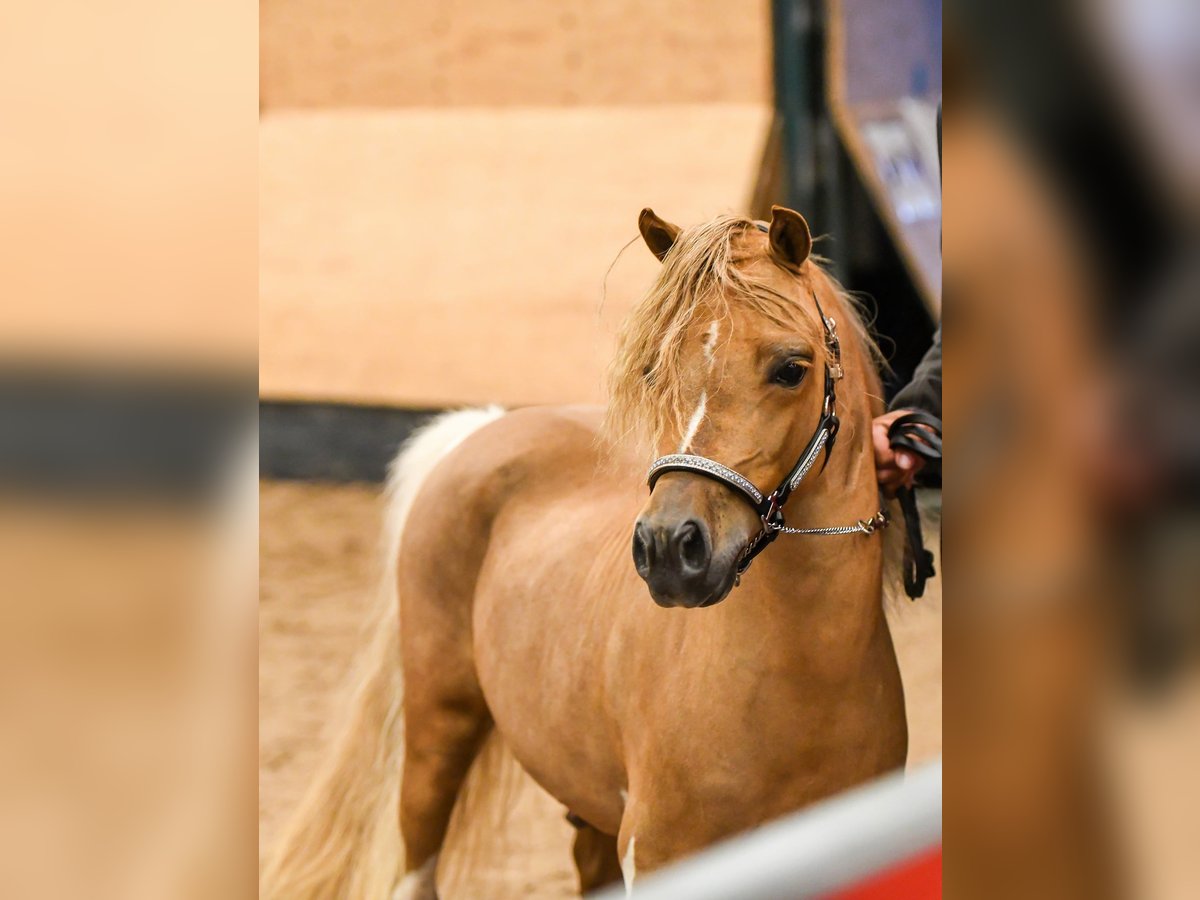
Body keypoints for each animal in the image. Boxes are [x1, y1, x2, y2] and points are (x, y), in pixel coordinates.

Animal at [260, 207, 902, 897]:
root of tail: (487, 428)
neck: (803, 677)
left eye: (791, 368)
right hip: (437, 730)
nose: (669, 548)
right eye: (653, 370)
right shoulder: (662, 855)